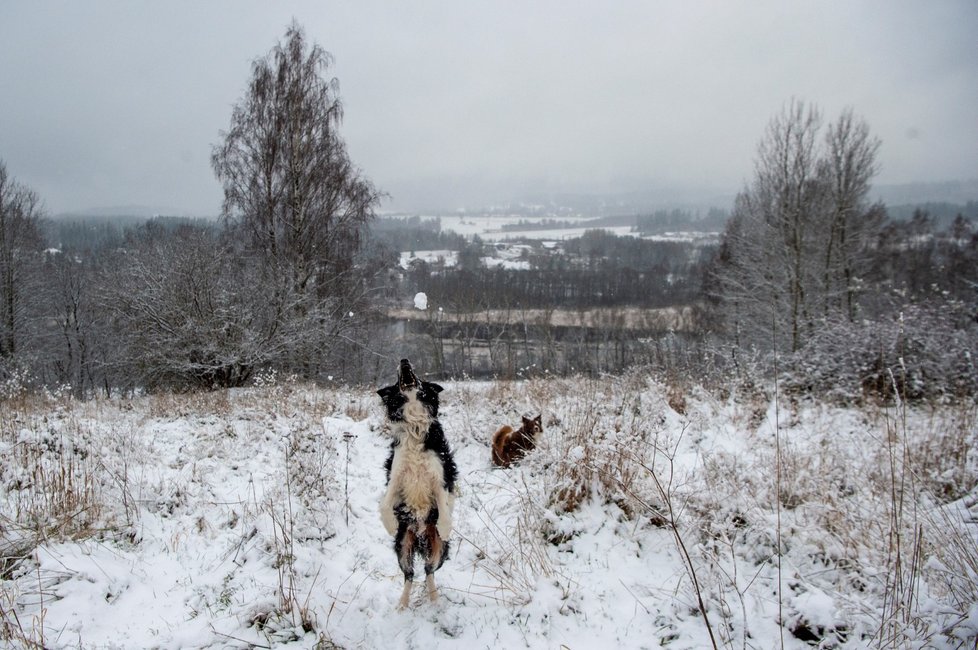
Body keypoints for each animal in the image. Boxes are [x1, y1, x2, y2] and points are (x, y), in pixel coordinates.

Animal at [380, 356, 460, 604]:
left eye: (421, 379)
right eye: (397, 376)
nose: (404, 360)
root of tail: (421, 536)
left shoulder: (440, 475)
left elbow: (444, 503)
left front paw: (445, 526)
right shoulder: (396, 476)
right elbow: (384, 503)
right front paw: (389, 524)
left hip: (439, 551)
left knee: (428, 570)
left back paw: (434, 599)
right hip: (403, 546)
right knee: (410, 574)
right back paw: (402, 604)